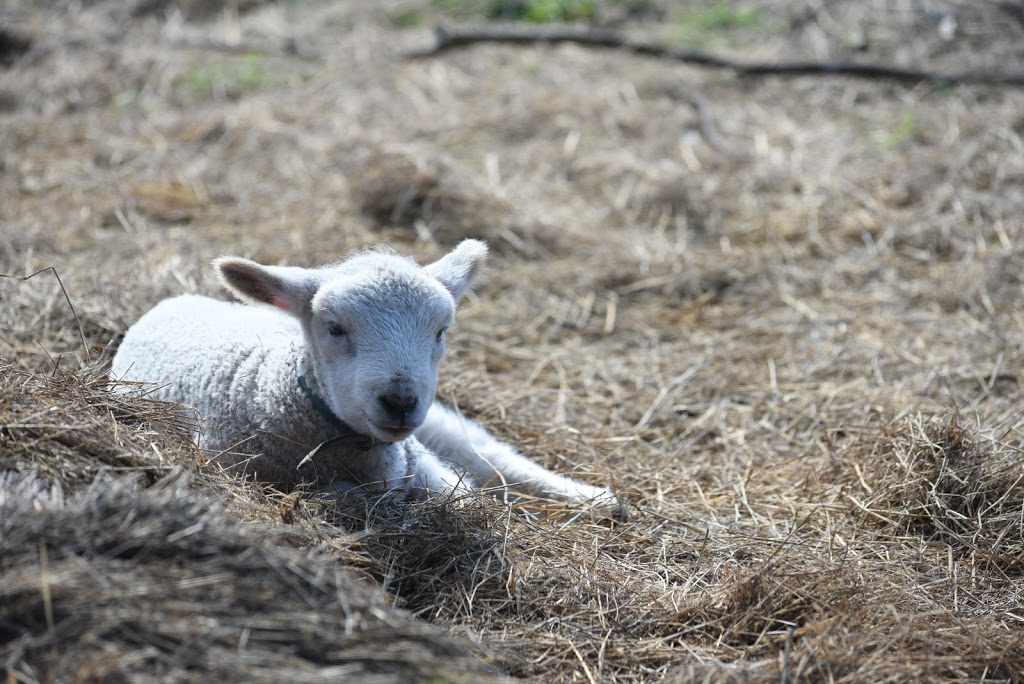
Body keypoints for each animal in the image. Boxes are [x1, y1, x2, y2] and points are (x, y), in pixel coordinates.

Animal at [115, 239, 618, 511]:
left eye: (441, 330)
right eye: (334, 328)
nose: (400, 401)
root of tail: (178, 299)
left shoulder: (416, 455)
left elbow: (462, 492)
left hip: (436, 419)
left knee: (488, 453)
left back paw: (591, 497)